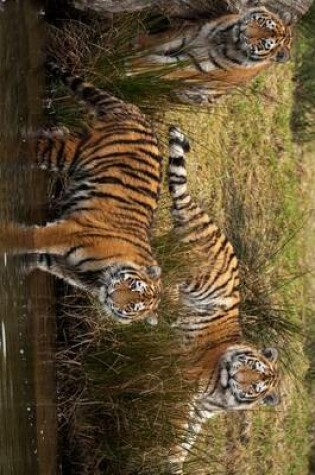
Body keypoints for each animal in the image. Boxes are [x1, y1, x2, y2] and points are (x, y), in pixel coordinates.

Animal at [0, 61, 163, 326]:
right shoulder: (70, 231)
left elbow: (39, 257)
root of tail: (139, 114)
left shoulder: (63, 263)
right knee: (34, 147)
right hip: (72, 154)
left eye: (133, 306)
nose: (113, 297)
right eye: (134, 286)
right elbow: (35, 237)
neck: (100, 279)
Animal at [130, 5, 292, 104]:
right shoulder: (189, 34)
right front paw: (133, 43)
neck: (224, 40)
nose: (243, 31)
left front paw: (129, 64)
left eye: (263, 42)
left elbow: (154, 64)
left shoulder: (194, 66)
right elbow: (157, 42)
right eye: (261, 22)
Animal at [167, 125, 280, 472]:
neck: (222, 394)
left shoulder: (200, 411)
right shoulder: (185, 387)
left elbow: (186, 443)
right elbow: (176, 429)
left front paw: (174, 465)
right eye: (251, 367)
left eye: (256, 385)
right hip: (187, 271)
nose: (236, 376)